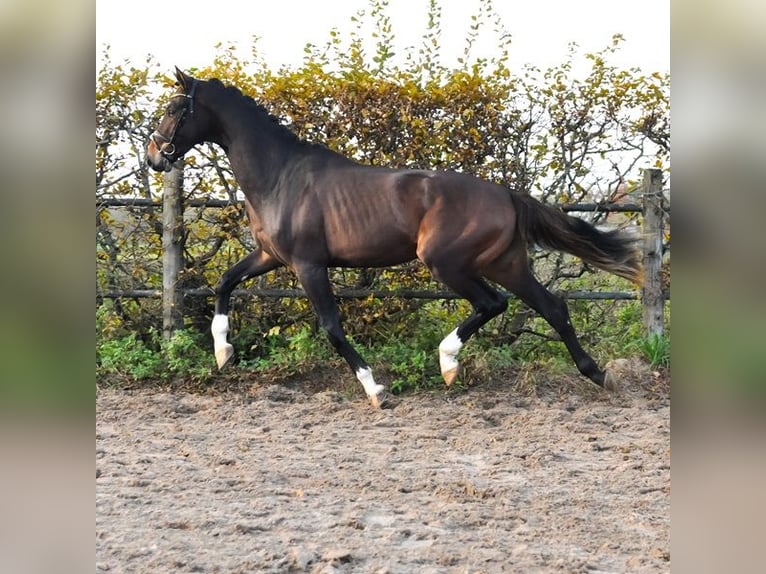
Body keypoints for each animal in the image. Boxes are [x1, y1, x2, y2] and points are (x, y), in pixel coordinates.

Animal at [147, 68, 644, 410]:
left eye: (173, 109)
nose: (153, 156)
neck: (280, 176)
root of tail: (506, 193)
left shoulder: (309, 266)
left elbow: (332, 327)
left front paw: (376, 390)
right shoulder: (270, 256)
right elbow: (224, 283)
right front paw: (223, 353)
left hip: (447, 261)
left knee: (493, 304)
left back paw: (448, 362)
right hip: (505, 262)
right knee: (552, 307)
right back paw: (597, 375)